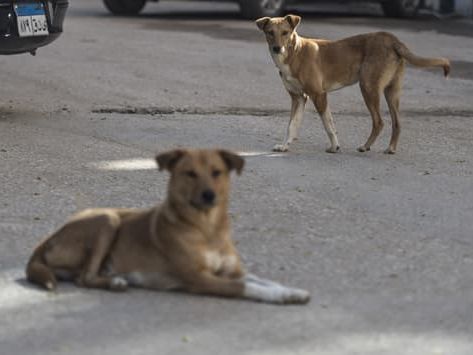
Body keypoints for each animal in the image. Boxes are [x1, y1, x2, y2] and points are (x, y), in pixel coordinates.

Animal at [27, 150, 312, 306]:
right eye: (190, 174)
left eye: (217, 172)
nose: (209, 195)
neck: (207, 230)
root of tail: (45, 241)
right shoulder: (199, 280)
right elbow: (248, 287)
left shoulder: (232, 272)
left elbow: (262, 280)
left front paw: (291, 292)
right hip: (107, 219)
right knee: (84, 278)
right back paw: (116, 282)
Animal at [256, 15, 448, 154]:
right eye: (270, 32)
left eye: (285, 32)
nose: (277, 48)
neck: (295, 53)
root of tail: (391, 38)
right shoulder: (298, 98)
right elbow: (292, 126)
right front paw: (284, 146)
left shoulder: (319, 95)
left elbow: (328, 125)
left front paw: (334, 147)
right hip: (391, 91)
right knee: (397, 123)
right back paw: (391, 148)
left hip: (368, 87)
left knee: (379, 122)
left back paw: (365, 146)